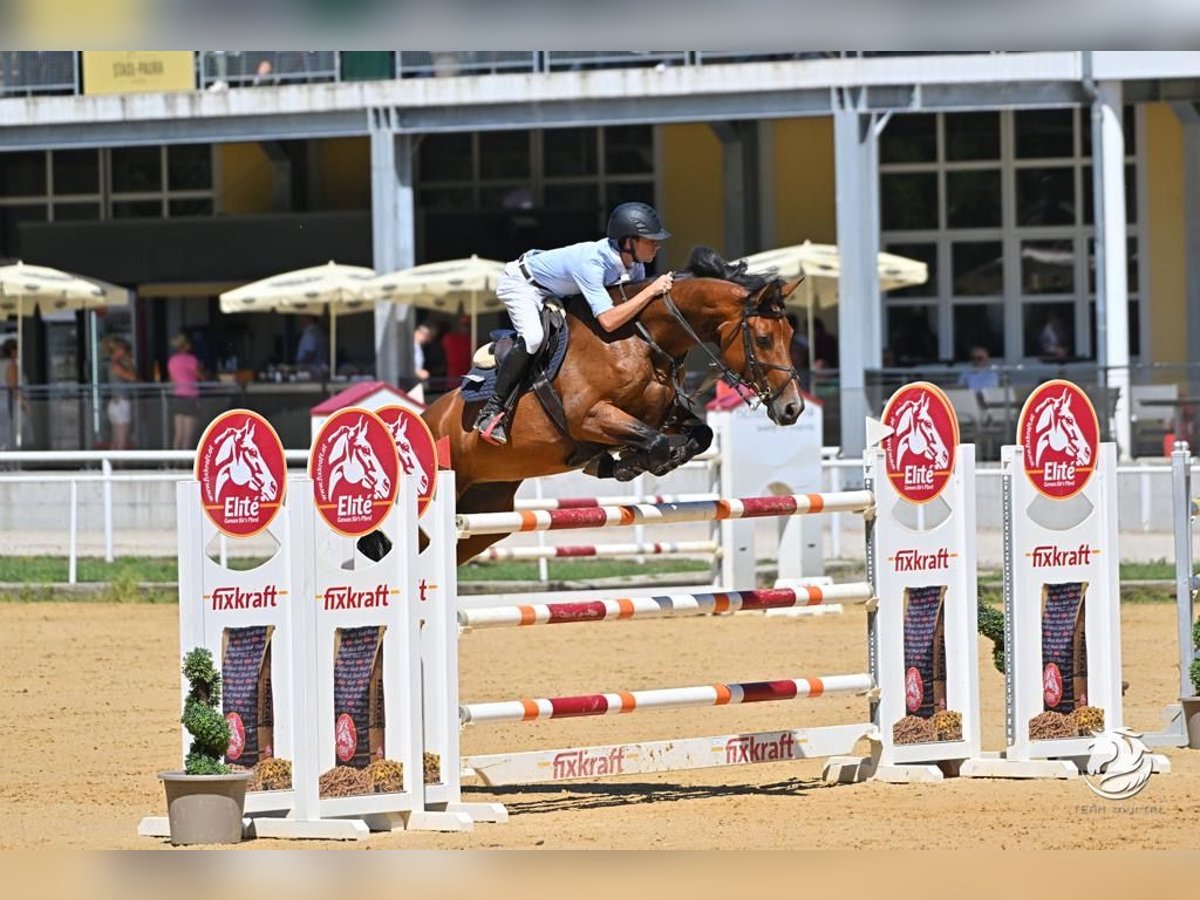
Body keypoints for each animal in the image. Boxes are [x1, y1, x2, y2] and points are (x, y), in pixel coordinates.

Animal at [422, 247, 806, 564]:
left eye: (789, 335)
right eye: (763, 339)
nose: (793, 409)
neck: (641, 339)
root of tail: (427, 417)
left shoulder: (663, 414)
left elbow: (700, 434)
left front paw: (633, 462)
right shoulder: (589, 417)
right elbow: (656, 442)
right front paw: (631, 463)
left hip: (488, 509)